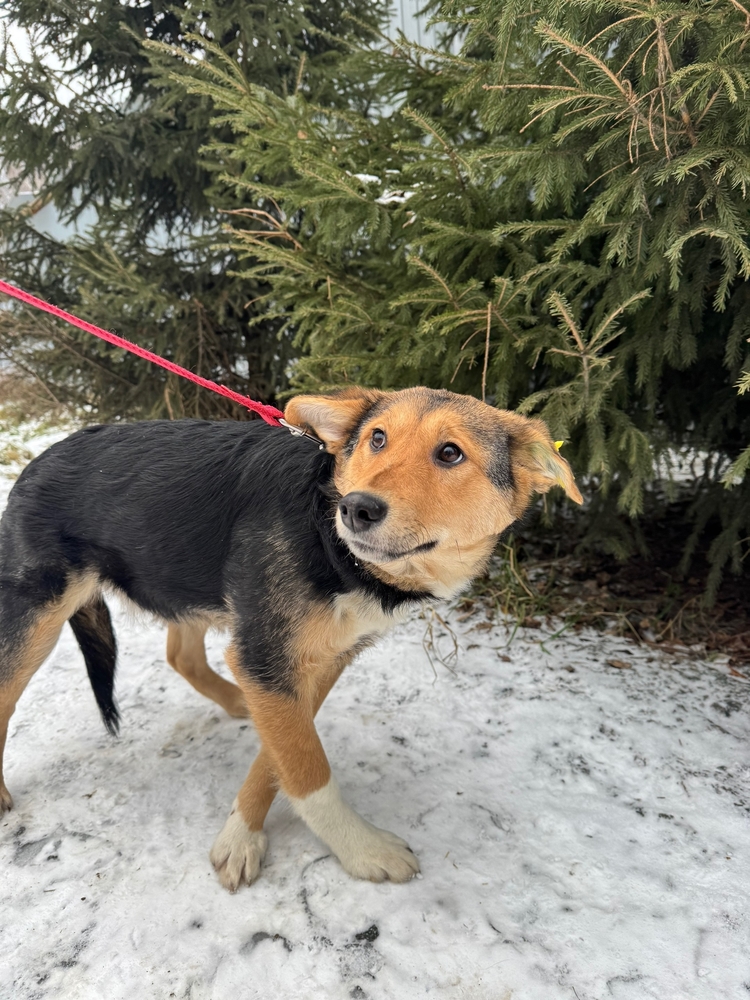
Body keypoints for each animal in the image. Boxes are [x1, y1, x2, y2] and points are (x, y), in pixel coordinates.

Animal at [0, 386, 582, 889]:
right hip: (37, 616)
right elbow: (309, 770)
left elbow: (281, 753)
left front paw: (241, 833)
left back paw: (237, 703)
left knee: (181, 655)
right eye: (376, 438)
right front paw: (361, 848)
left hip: (183, 577)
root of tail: (37, 461)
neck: (327, 540)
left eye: (450, 453)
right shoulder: (267, 655)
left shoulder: (309, 663)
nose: (358, 509)